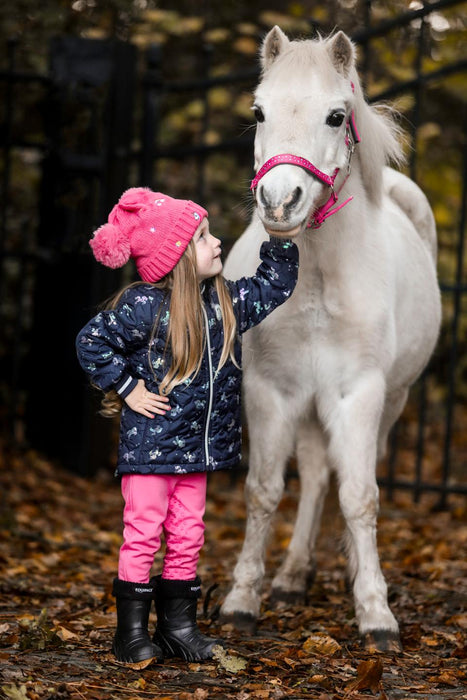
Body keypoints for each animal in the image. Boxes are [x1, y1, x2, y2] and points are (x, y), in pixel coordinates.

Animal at [221, 26, 440, 652]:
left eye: (336, 116)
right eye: (259, 111)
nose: (279, 202)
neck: (317, 277)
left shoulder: (358, 395)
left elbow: (360, 495)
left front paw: (375, 612)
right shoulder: (273, 392)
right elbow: (265, 490)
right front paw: (243, 599)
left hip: (389, 403)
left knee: (344, 480)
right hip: (310, 408)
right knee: (317, 477)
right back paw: (294, 576)